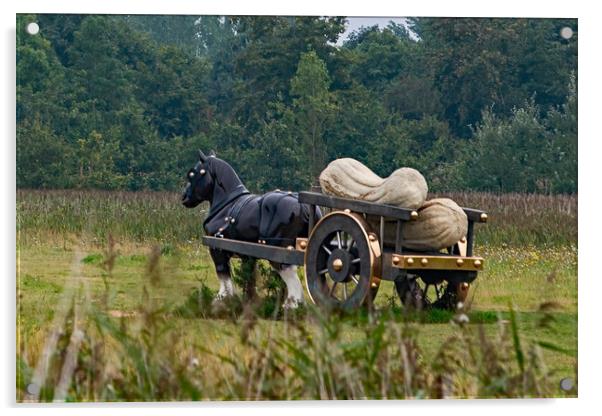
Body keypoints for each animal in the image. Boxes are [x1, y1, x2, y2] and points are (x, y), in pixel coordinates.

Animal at [180, 150, 318, 308]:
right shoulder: (248, 254)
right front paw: (250, 302)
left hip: (280, 249)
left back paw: (291, 304)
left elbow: (223, 272)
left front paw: (222, 299)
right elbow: (248, 278)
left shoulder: (216, 248)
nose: (184, 198)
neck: (227, 204)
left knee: (288, 273)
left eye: (192, 174)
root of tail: (303, 205)